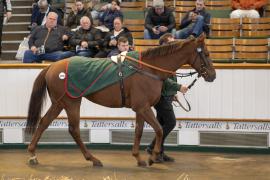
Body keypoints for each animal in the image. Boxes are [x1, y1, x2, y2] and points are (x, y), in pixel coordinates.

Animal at [25, 34, 215, 167]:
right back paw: (93, 159)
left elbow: (139, 131)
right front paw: (153, 157)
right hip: (71, 103)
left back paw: (33, 154)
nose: (212, 75)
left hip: (59, 103)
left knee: (44, 122)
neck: (148, 69)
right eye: (206, 53)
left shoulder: (141, 108)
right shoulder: (143, 108)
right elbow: (160, 129)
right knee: (74, 130)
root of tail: (51, 66)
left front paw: (139, 158)